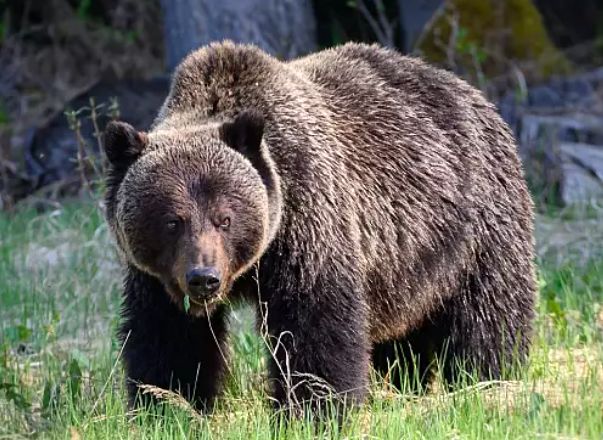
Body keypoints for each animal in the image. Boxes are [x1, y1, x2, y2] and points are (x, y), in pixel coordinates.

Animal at [101, 40, 536, 412]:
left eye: (225, 218)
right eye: (172, 221)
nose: (203, 278)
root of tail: (473, 93)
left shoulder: (308, 218)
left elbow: (314, 323)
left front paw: (312, 408)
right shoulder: (157, 276)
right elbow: (168, 337)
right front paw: (169, 405)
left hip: (474, 225)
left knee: (487, 314)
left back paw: (487, 381)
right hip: (406, 269)